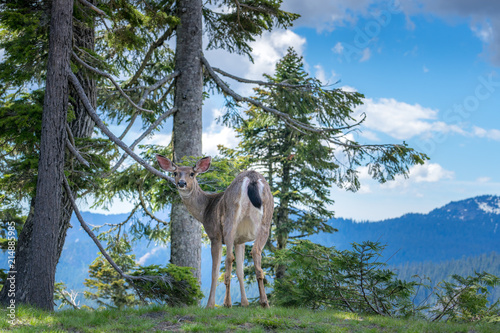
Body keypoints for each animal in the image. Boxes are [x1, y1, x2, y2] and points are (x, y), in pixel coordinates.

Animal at [156, 154, 274, 308]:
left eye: (192, 173)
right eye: (175, 173)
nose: (181, 183)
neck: (206, 209)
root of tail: (252, 178)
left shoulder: (215, 235)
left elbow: (215, 271)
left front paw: (210, 305)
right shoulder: (240, 240)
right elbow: (240, 271)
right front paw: (245, 303)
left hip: (231, 218)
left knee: (229, 257)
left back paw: (227, 303)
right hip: (267, 218)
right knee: (255, 252)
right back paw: (264, 302)